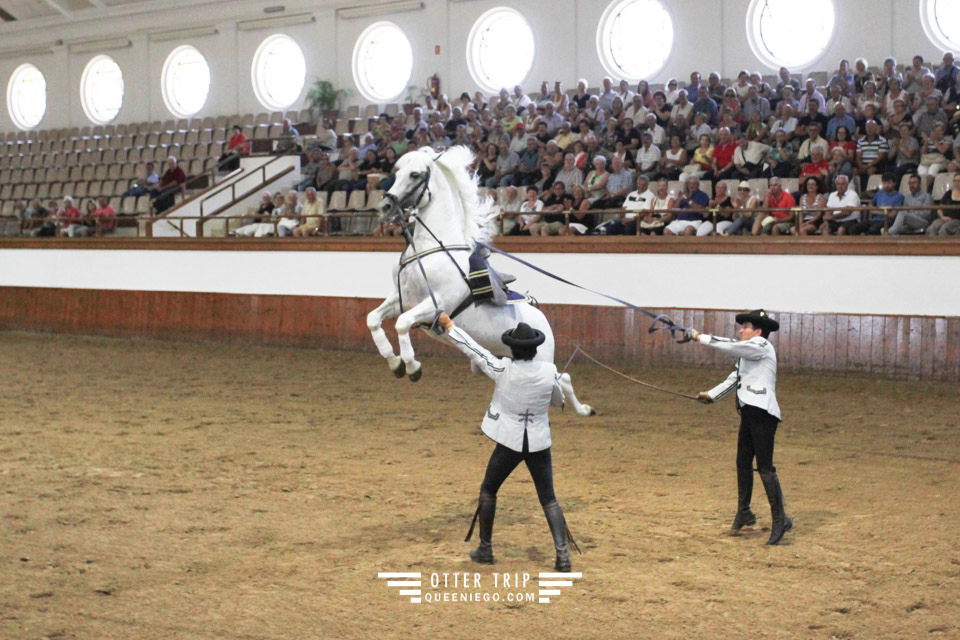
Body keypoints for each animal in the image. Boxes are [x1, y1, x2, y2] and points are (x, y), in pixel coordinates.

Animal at [366, 146, 592, 418]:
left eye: (415, 174)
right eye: (397, 172)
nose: (386, 206)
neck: (431, 248)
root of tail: (543, 321)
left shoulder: (436, 303)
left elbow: (401, 324)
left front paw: (412, 367)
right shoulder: (403, 298)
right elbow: (373, 319)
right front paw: (395, 362)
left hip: (540, 360)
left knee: (563, 379)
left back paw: (584, 410)